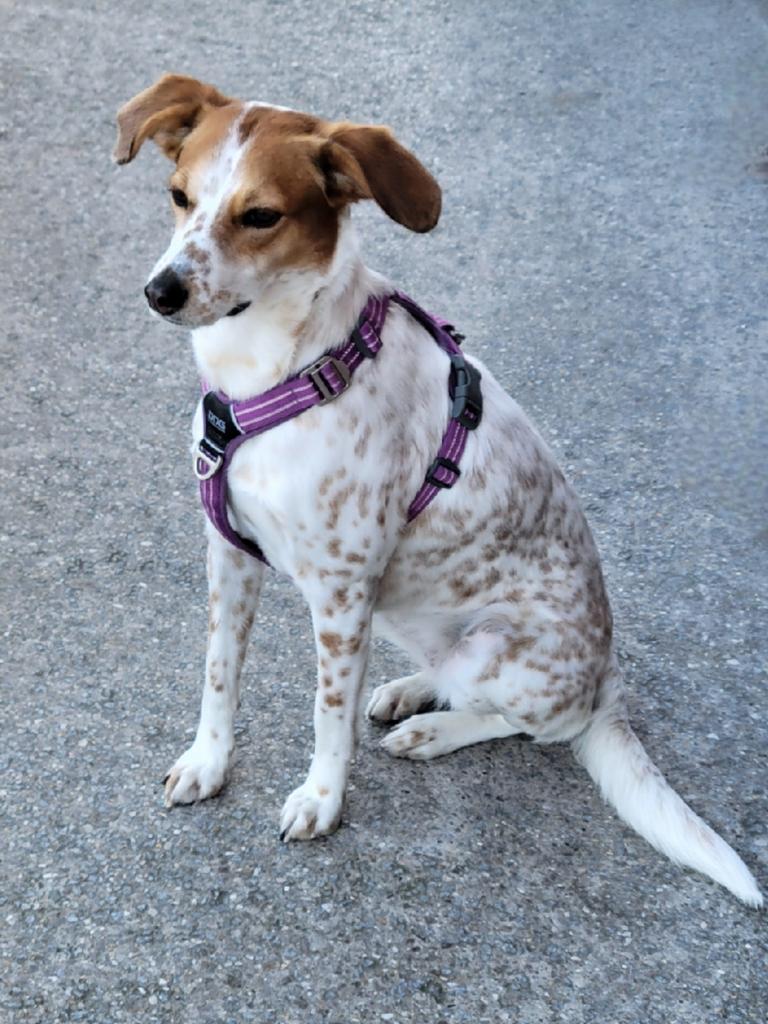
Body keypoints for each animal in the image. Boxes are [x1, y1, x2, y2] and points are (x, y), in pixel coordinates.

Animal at [112, 72, 765, 905]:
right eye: (178, 196)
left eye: (260, 215)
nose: (159, 291)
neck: (272, 377)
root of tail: (606, 681)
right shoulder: (230, 559)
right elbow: (219, 674)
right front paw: (209, 761)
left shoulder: (341, 596)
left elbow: (328, 717)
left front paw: (321, 801)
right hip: (406, 616)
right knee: (447, 680)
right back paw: (412, 692)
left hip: (496, 649)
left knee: (529, 723)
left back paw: (431, 729)